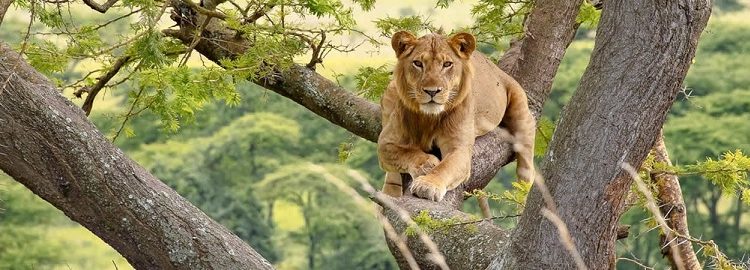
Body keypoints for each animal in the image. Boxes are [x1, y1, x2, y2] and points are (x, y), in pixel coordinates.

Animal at [378, 31, 536, 200]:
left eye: (447, 64)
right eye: (418, 63)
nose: (432, 91)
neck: (429, 117)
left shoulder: (459, 149)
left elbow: (445, 167)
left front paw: (428, 184)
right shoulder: (386, 143)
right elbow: (406, 153)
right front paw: (427, 164)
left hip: (520, 110)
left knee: (526, 165)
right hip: (391, 90)